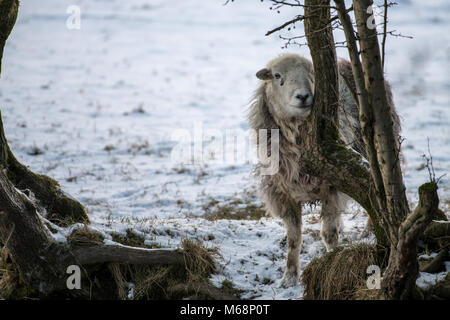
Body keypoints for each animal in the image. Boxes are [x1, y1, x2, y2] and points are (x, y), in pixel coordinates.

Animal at [250, 53, 400, 288]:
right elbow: (294, 239)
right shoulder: (283, 192)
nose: (303, 96)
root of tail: (346, 61)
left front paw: (331, 262)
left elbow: (328, 234)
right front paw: (289, 277)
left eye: (312, 73)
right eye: (277, 75)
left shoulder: (332, 186)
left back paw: (368, 230)